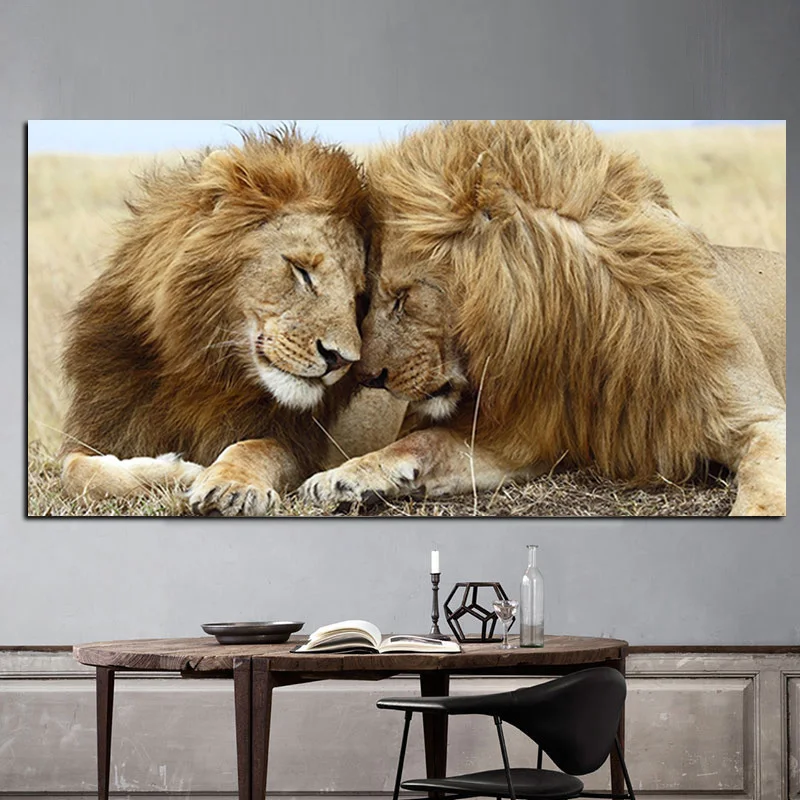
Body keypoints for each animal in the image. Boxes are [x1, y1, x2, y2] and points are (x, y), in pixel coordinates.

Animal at [60, 127, 372, 516]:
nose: (342, 360)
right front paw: (177, 471)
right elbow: (76, 471)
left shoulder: (296, 443)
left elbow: (254, 448)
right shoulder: (102, 426)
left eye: (357, 295)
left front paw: (230, 485)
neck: (202, 368)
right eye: (301, 271)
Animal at [299, 120, 786, 516]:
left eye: (402, 297)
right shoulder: (525, 436)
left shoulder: (761, 417)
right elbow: (425, 440)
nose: (366, 377)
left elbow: (764, 488)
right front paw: (342, 477)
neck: (579, 328)